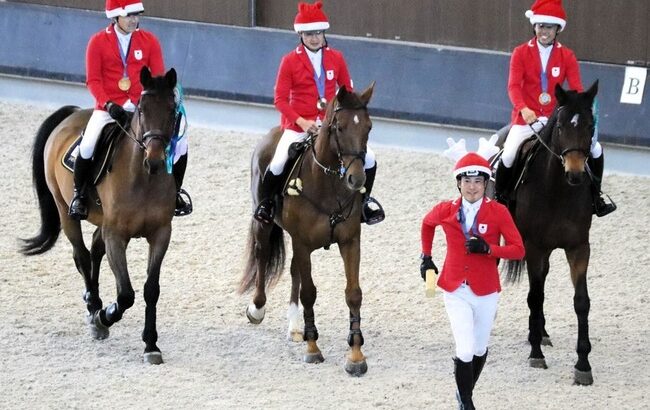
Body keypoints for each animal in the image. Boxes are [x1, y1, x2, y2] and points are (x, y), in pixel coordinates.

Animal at [20, 67, 177, 366]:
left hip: (102, 220)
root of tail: (71, 115)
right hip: (66, 210)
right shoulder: (116, 234)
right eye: (142, 109)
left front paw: (151, 344)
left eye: (173, 110)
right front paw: (104, 318)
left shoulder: (161, 234)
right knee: (81, 254)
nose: (155, 161)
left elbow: (151, 289)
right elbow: (125, 294)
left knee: (93, 251)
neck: (144, 179)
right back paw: (94, 306)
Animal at [239, 81, 374, 376]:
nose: (356, 179)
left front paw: (356, 355)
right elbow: (310, 293)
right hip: (264, 223)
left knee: (293, 272)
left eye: (369, 127)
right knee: (263, 254)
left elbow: (353, 294)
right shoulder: (302, 242)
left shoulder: (350, 241)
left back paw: (294, 327)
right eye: (339, 128)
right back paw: (257, 308)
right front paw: (313, 348)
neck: (330, 185)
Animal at [504, 81, 600, 384]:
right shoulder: (534, 246)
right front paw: (536, 354)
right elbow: (535, 296)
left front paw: (583, 364)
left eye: (591, 125)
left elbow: (581, 302)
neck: (558, 190)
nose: (575, 174)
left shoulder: (579, 247)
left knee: (542, 283)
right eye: (560, 126)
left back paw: (542, 332)